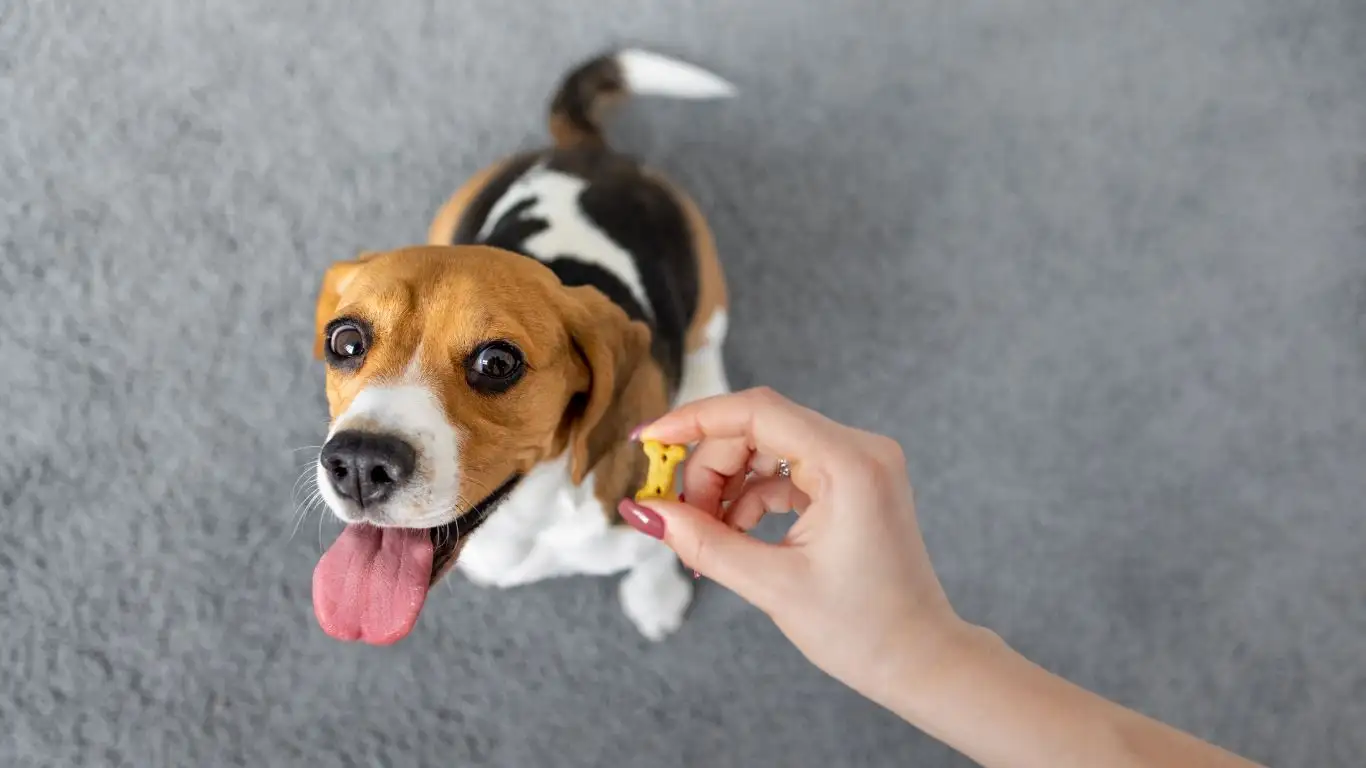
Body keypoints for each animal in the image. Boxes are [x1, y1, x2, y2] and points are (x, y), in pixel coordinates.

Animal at [310, 50, 737, 642]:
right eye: (345, 341)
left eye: (497, 362)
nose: (358, 464)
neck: (529, 514)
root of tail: (585, 152)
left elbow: (656, 551)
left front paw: (657, 598)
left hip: (708, 288)